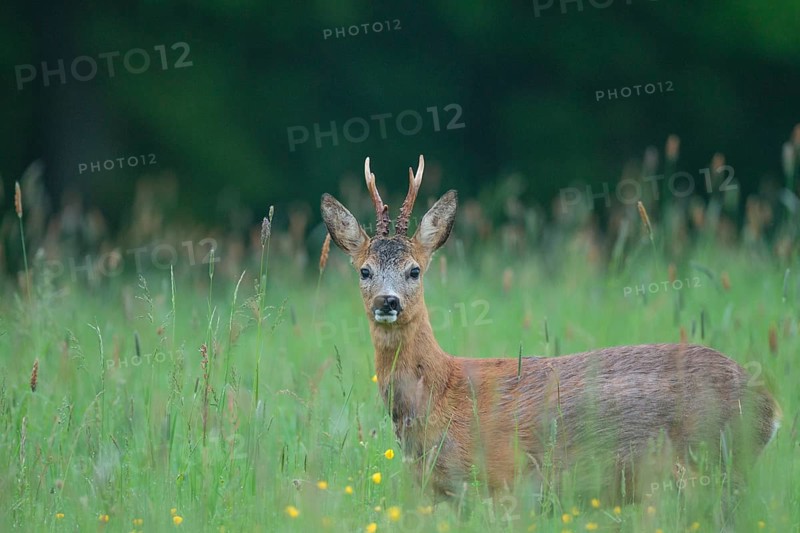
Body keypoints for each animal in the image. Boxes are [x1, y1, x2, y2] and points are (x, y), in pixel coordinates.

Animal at [320, 154, 782, 512]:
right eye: (364, 270)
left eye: (414, 270)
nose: (388, 302)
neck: (441, 392)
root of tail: (770, 408)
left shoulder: (499, 484)